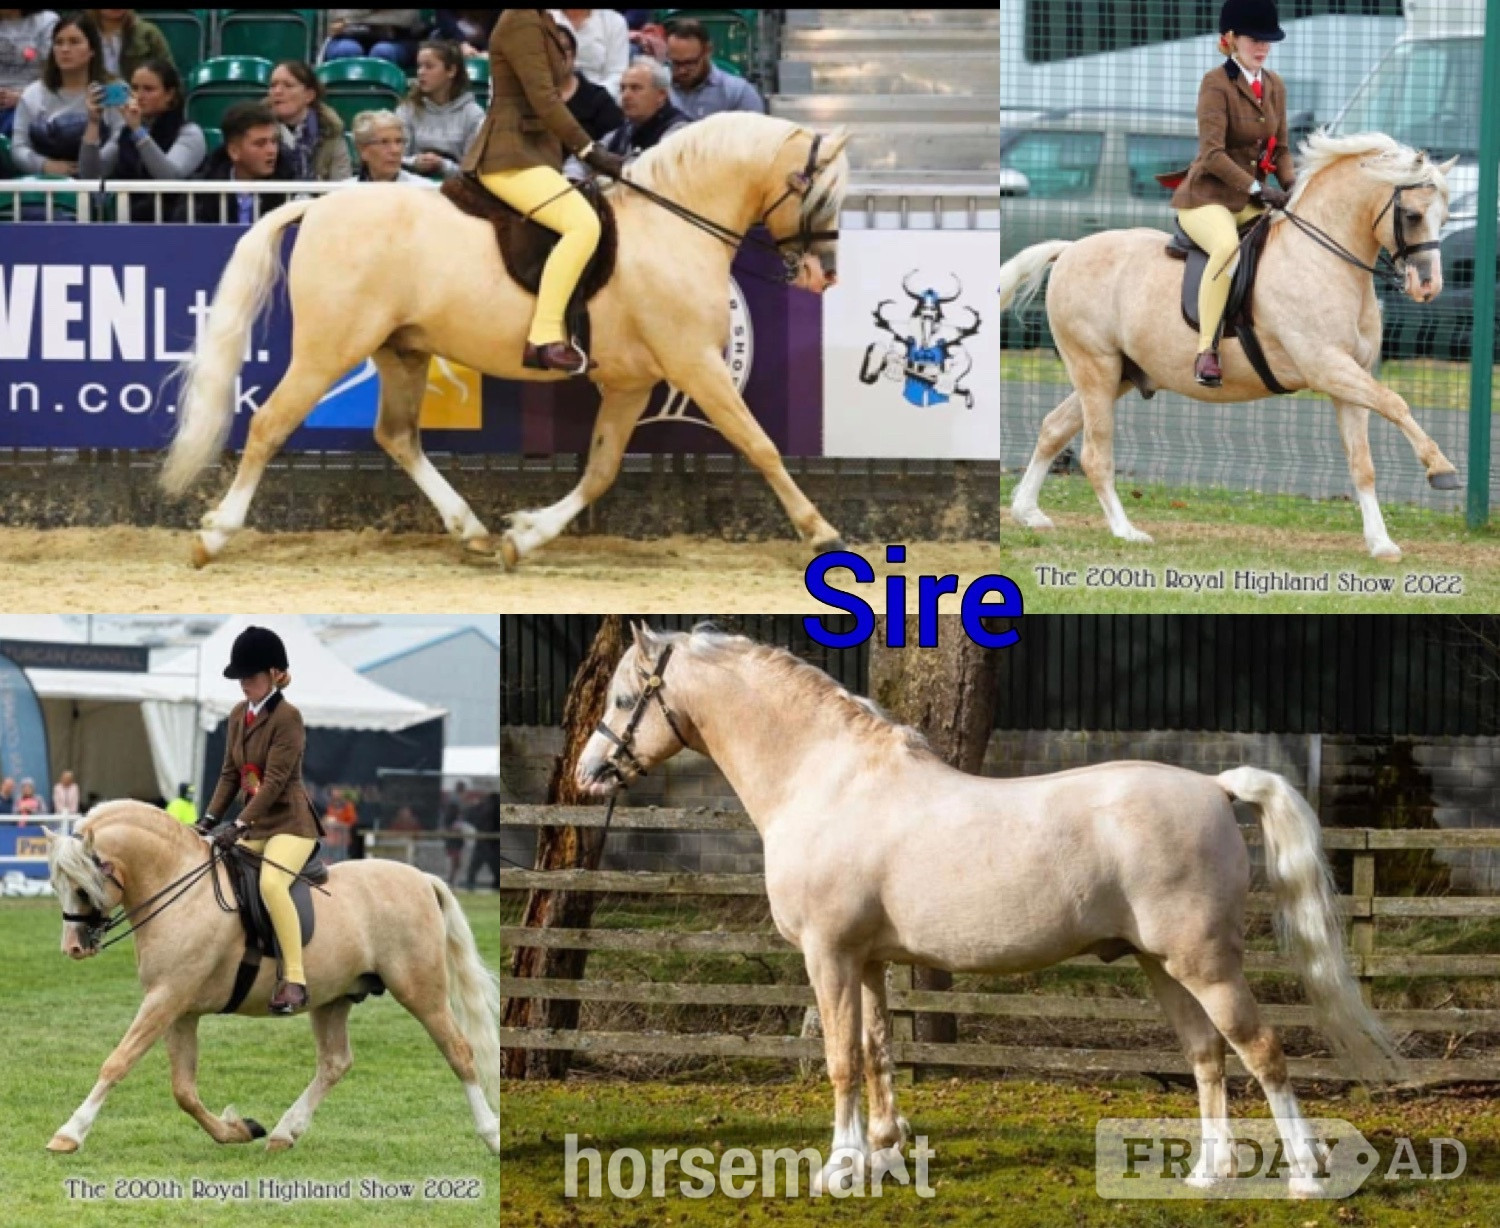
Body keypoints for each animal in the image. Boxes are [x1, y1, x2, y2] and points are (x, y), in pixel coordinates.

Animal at [43, 802, 499, 1155]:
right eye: (56, 884)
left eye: (82, 887)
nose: (74, 948)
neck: (181, 890)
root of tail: (421, 878)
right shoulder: (179, 1009)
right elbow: (184, 1091)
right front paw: (239, 1129)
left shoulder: (166, 998)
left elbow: (118, 1061)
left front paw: (69, 1133)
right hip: (332, 998)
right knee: (335, 1063)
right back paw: (284, 1132)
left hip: (421, 990)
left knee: (459, 1051)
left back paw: (491, 1135)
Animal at [158, 112, 850, 569]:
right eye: (819, 193)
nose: (823, 274)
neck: (672, 226)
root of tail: (319, 205)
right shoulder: (695, 365)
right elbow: (759, 445)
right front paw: (822, 534)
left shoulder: (631, 384)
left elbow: (600, 471)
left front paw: (524, 535)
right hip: (328, 351)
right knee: (269, 424)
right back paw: (213, 536)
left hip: (402, 351)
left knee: (398, 436)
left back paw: (470, 529)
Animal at [574, 623, 1403, 1196]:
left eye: (625, 698)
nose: (588, 774)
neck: (827, 780)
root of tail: (1214, 785)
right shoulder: (867, 961)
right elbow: (877, 1052)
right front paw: (883, 1154)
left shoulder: (829, 955)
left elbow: (841, 1059)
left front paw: (839, 1169)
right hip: (1161, 966)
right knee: (1206, 1056)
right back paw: (1209, 1172)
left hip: (1205, 964)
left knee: (1261, 1050)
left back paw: (1304, 1175)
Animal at [999, 130, 1460, 561]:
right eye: (1412, 214)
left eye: (1445, 216)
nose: (1428, 287)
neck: (1322, 259)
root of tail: (1069, 250)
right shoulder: (1327, 366)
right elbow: (1396, 402)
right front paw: (1442, 469)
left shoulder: (1350, 379)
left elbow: (1363, 464)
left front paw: (1381, 543)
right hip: (1095, 367)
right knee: (1095, 454)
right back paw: (1125, 531)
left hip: (1118, 375)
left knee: (1054, 428)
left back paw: (1028, 512)